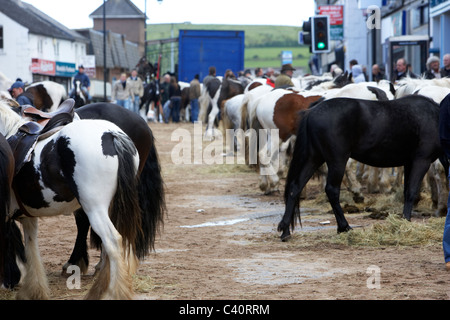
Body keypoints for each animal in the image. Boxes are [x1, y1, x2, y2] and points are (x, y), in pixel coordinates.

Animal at [280, 96, 444, 241]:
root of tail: (311, 112)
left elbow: (407, 191)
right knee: (332, 190)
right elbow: (411, 191)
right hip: (337, 160)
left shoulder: (409, 162)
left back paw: (285, 231)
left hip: (313, 158)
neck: (434, 117)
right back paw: (344, 226)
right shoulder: (421, 160)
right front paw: (405, 222)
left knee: (295, 187)